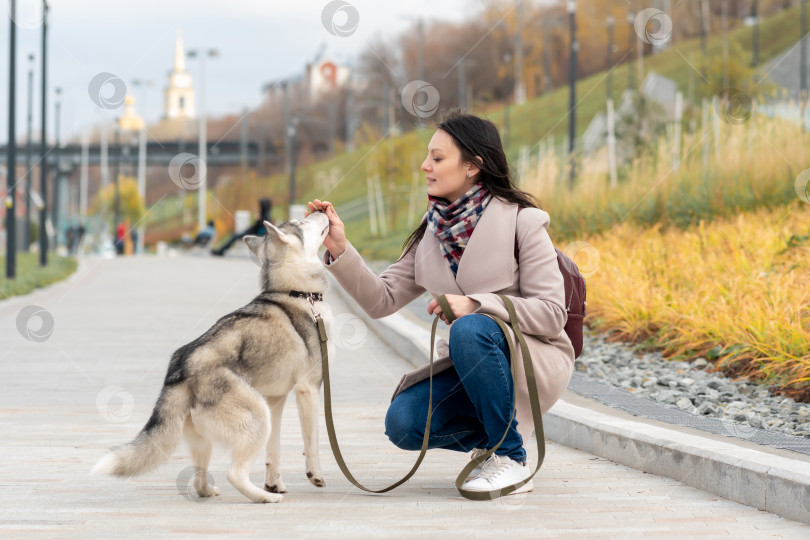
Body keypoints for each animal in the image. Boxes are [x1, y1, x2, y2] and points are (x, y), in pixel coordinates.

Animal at [93, 210, 332, 502]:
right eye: (301, 223)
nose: (321, 210)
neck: (296, 292)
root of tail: (180, 369)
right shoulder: (308, 390)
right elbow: (313, 442)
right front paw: (313, 476)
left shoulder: (276, 400)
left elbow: (273, 451)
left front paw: (274, 482)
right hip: (257, 416)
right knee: (234, 474)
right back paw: (263, 497)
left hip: (212, 435)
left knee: (198, 480)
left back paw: (212, 491)